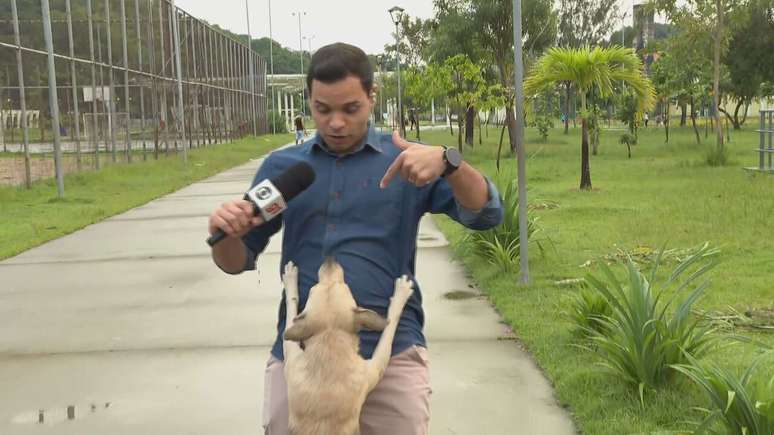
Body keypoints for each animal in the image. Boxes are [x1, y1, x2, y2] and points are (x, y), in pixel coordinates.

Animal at [284, 258, 418, 435]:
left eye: (314, 288)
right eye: (346, 286)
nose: (329, 259)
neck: (329, 340)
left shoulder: (291, 356)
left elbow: (291, 314)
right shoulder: (376, 367)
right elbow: (390, 324)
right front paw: (401, 294)